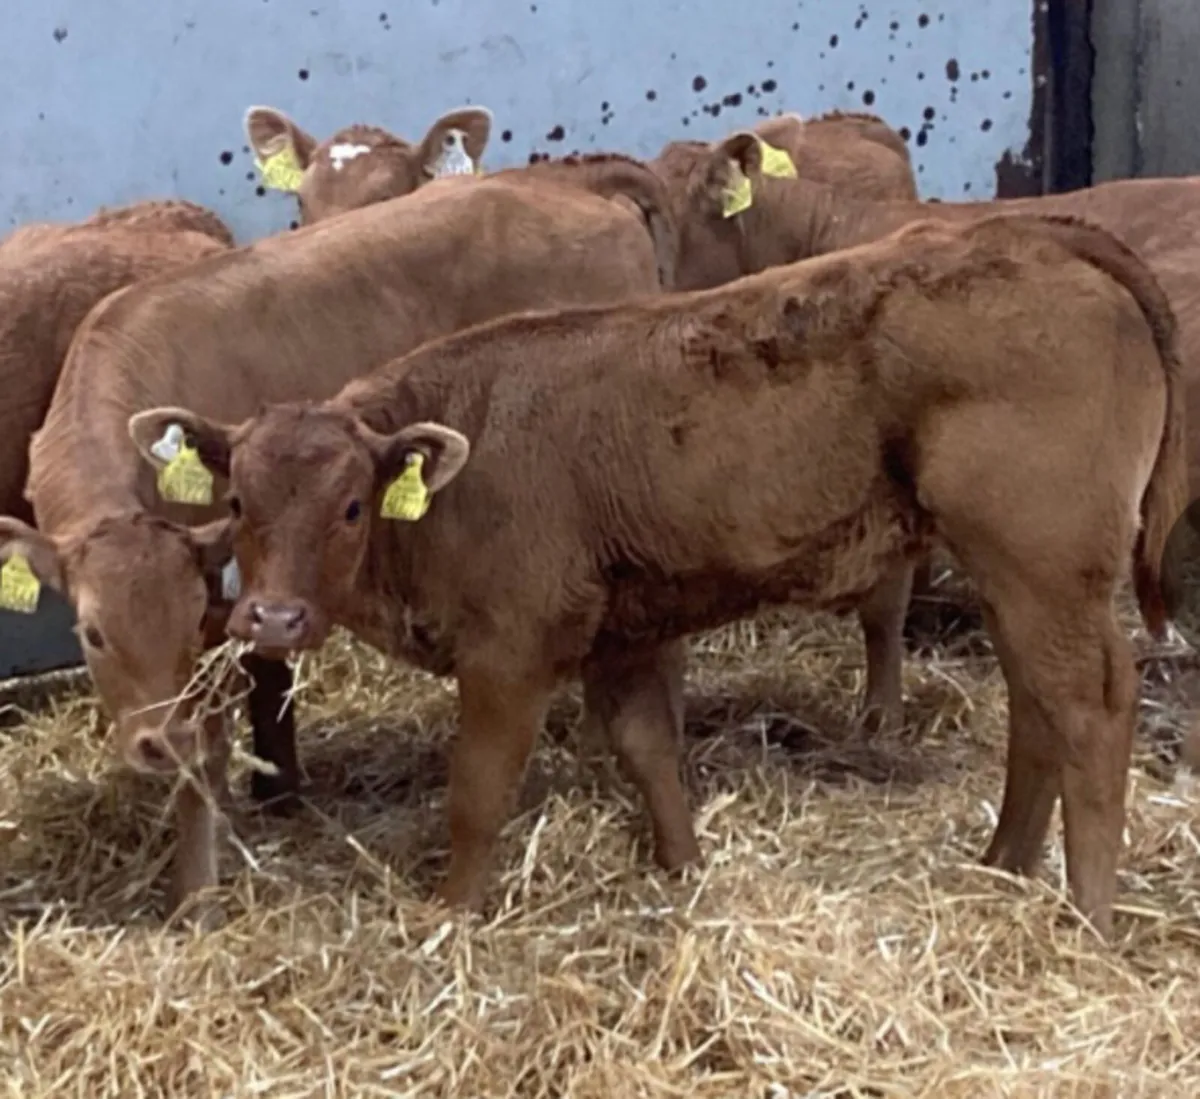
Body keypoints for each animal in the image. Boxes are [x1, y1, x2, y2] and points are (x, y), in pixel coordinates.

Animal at [128, 212, 1185, 942]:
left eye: (351, 506)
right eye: (237, 502)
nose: (270, 618)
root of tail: (1028, 231)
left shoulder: (509, 654)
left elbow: (477, 792)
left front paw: (448, 912)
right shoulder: (623, 634)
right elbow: (649, 751)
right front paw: (684, 868)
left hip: (1045, 564)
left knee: (1090, 707)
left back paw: (1086, 916)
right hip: (1021, 577)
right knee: (1036, 708)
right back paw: (1003, 864)